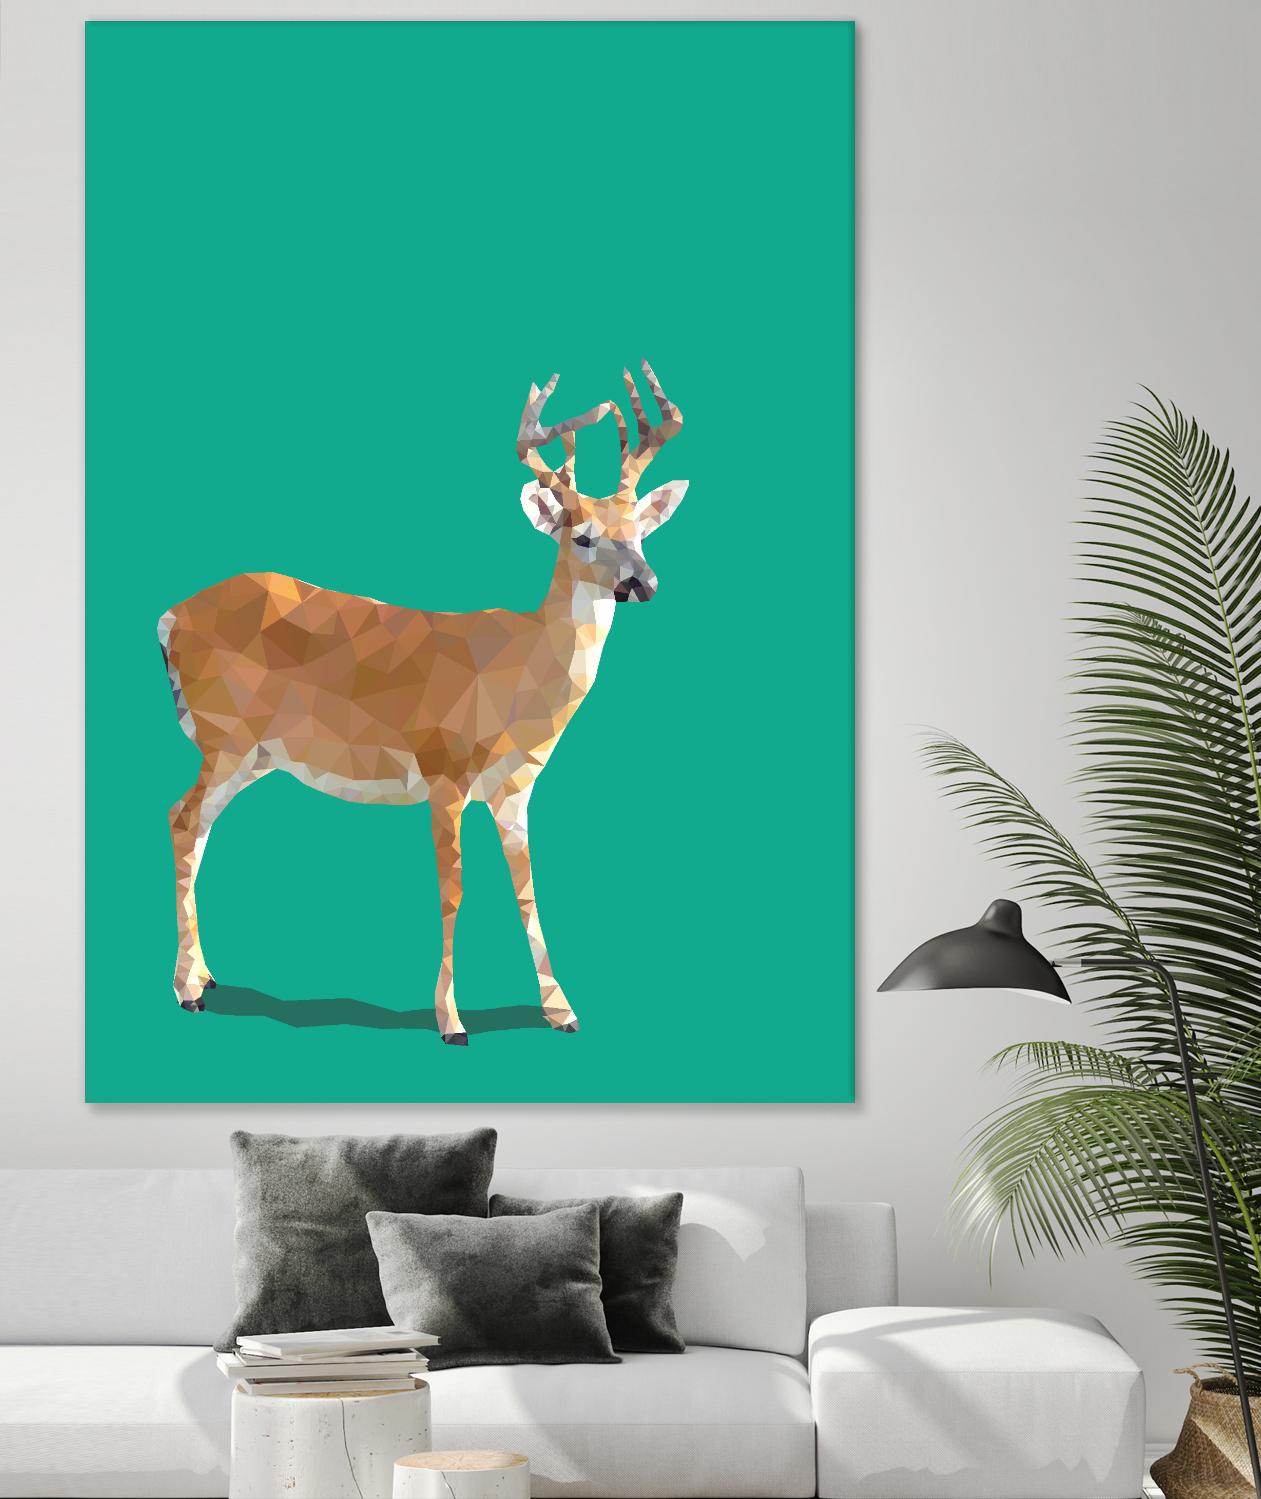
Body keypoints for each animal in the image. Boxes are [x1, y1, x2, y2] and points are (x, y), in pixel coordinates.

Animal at [158, 361, 686, 1044]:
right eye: (585, 539)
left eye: (641, 531)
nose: (643, 584)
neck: (516, 680)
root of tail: (169, 618)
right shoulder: (444, 769)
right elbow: (453, 892)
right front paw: (451, 1020)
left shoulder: (515, 789)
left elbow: (527, 890)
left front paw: (562, 1009)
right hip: (224, 735)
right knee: (182, 819)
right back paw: (186, 990)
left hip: (251, 754)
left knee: (195, 827)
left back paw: (205, 976)